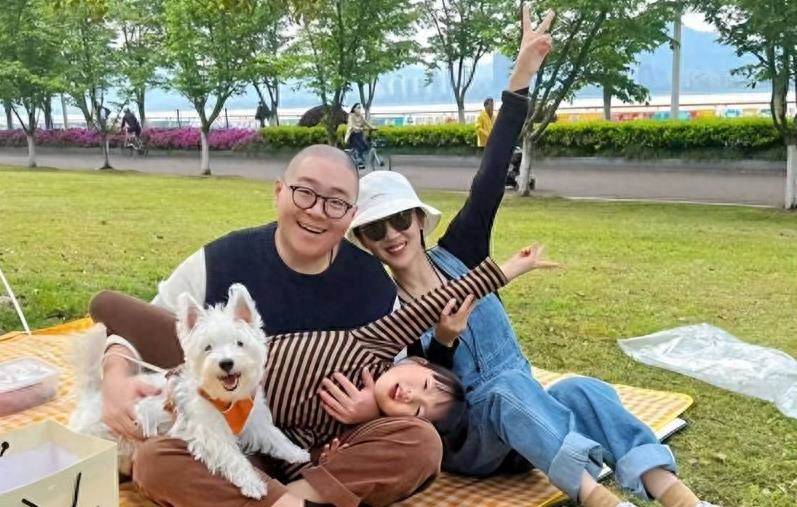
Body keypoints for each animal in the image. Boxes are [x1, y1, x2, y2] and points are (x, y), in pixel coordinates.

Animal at [69, 284, 310, 499]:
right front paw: (253, 484)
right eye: (208, 347)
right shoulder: (210, 433)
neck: (228, 401)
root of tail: (92, 397)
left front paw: (297, 453)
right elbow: (233, 457)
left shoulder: (253, 420)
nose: (226, 363)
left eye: (239, 343)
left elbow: (273, 435)